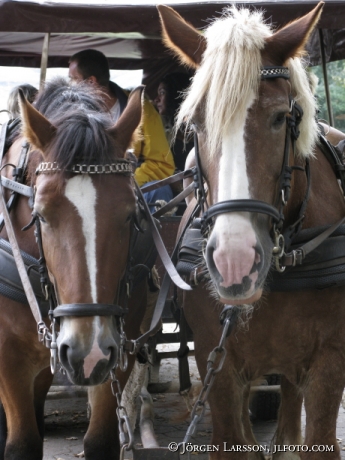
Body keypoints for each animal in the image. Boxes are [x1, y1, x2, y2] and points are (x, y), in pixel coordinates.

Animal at [0, 79, 150, 460]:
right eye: (39, 215)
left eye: (131, 214)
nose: (88, 349)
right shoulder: (8, 356)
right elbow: (22, 443)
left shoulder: (118, 348)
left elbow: (101, 441)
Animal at [159, 1, 345, 458]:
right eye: (196, 123)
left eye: (281, 118)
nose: (234, 262)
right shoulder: (218, 361)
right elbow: (233, 437)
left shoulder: (330, 361)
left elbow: (316, 437)